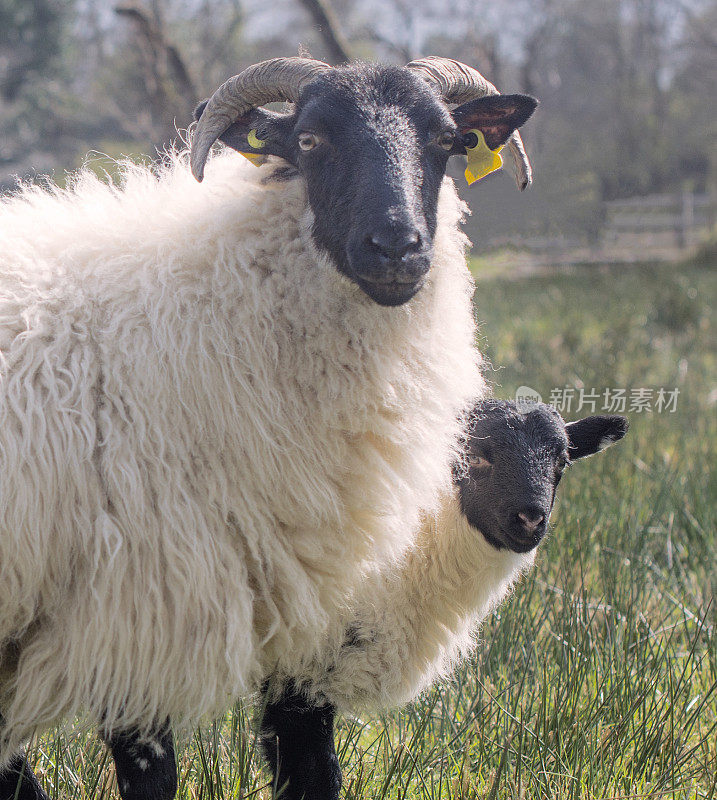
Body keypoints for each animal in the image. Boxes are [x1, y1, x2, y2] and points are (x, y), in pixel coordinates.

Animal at [0, 57, 536, 800]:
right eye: (309, 139)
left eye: (447, 141)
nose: (397, 249)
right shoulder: (140, 611)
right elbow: (152, 776)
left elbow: (310, 769)